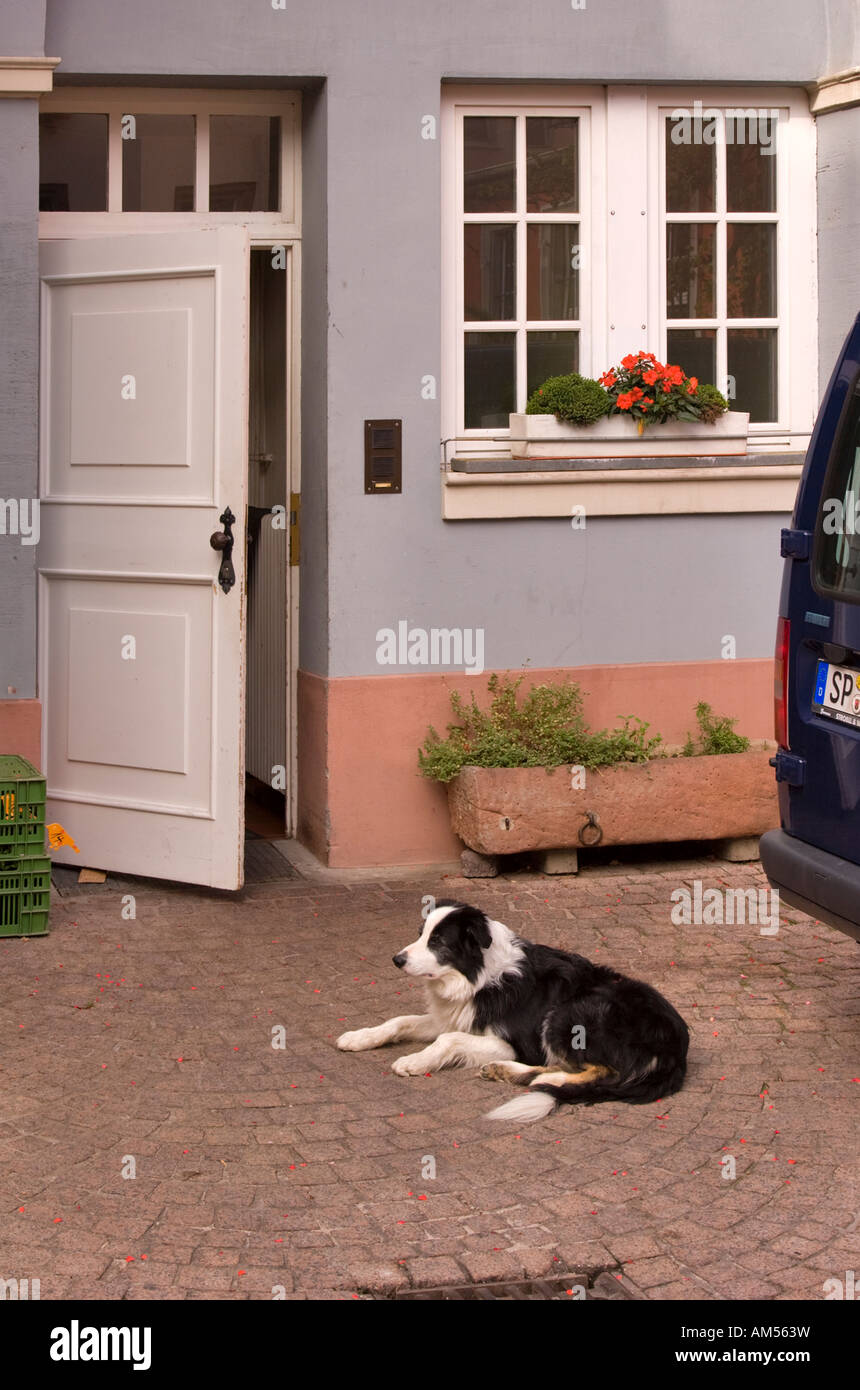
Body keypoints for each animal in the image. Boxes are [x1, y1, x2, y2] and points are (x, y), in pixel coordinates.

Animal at [333, 900, 689, 1117]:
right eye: (420, 935)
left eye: (438, 942)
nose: (397, 959)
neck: (478, 977)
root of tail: (675, 1048)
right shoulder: (453, 1017)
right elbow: (399, 1021)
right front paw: (358, 1037)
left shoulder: (510, 1043)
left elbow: (447, 1040)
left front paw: (414, 1061)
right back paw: (507, 1072)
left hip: (569, 1014)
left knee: (602, 1072)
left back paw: (545, 1081)